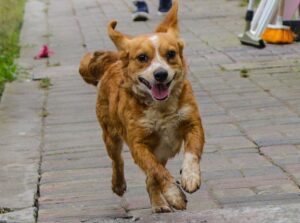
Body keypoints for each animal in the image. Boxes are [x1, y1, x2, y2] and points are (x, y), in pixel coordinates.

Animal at [78, 0, 204, 213]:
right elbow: (157, 171)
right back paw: (120, 185)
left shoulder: (193, 124)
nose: (160, 74)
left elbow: (191, 153)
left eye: (171, 54)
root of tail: (115, 60)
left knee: (149, 178)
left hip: (161, 150)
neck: (162, 108)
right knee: (118, 161)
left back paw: (159, 204)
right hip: (110, 136)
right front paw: (174, 194)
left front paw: (190, 177)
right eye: (142, 58)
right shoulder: (139, 144)